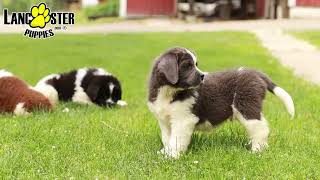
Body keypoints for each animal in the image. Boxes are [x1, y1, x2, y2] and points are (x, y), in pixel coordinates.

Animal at [148, 46, 296, 159]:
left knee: (260, 128)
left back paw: (257, 150)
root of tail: (256, 73)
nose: (202, 76)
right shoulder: (164, 120)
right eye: (187, 66)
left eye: (195, 65)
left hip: (246, 106)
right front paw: (165, 152)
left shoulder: (183, 120)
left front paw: (172, 157)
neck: (168, 92)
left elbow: (176, 140)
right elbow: (167, 138)